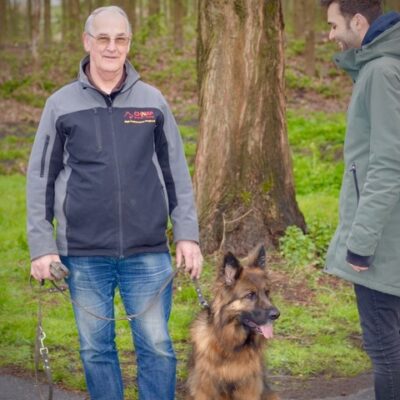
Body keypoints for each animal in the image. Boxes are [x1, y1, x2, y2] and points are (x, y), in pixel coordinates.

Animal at [186, 245, 281, 400]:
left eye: (267, 292)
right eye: (250, 295)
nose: (277, 315)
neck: (232, 345)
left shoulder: (249, 388)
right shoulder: (205, 389)